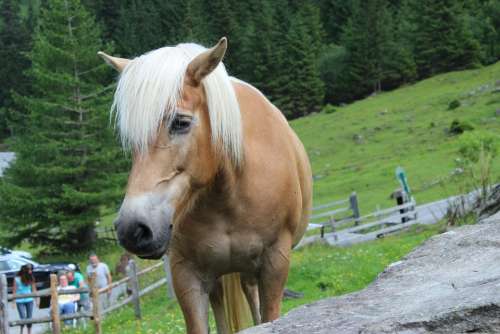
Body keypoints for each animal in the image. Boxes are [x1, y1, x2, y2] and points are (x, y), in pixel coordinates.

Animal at [97, 37, 312, 332]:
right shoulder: (185, 273)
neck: (229, 195)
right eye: (130, 139)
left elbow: (269, 317)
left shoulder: (275, 262)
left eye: (180, 122)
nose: (133, 229)